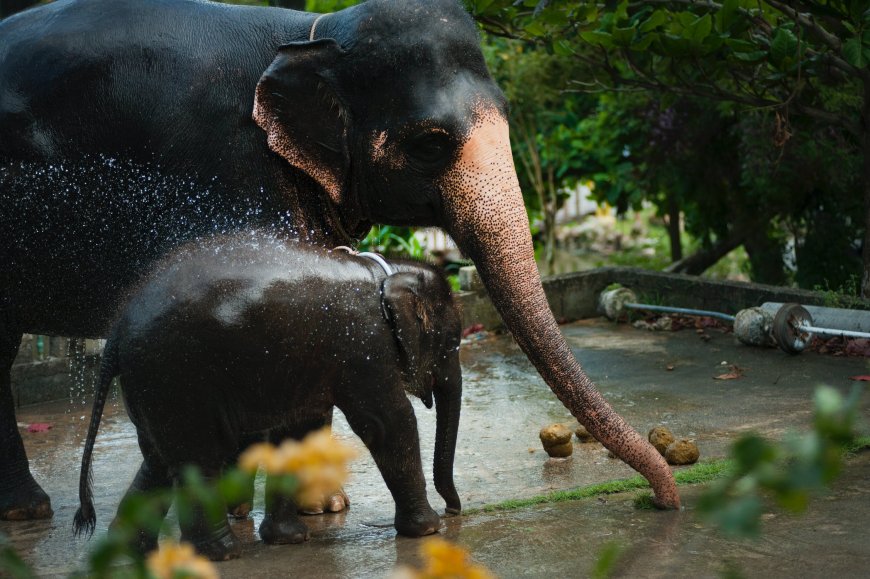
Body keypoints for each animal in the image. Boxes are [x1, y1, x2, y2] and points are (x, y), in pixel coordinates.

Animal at [0, 0, 680, 520]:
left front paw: (322, 510)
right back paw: (30, 510)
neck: (309, 35)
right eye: (429, 143)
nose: (663, 500)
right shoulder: (228, 168)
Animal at [75, 232, 464, 560]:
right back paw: (222, 553)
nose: (455, 509)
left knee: (158, 460)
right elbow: (388, 422)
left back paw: (134, 550)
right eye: (452, 342)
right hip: (176, 377)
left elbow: (297, 432)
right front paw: (428, 530)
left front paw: (289, 539)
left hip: (154, 387)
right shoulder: (365, 347)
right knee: (198, 458)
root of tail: (116, 333)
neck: (385, 272)